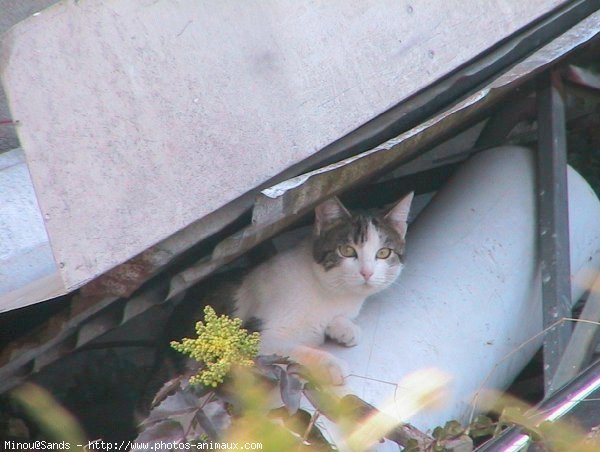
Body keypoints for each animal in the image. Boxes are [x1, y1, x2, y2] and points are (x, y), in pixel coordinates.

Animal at [168, 192, 412, 386]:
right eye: (346, 250)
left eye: (384, 253)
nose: (367, 273)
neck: (328, 291)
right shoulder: (254, 338)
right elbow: (293, 350)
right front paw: (331, 364)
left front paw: (345, 328)